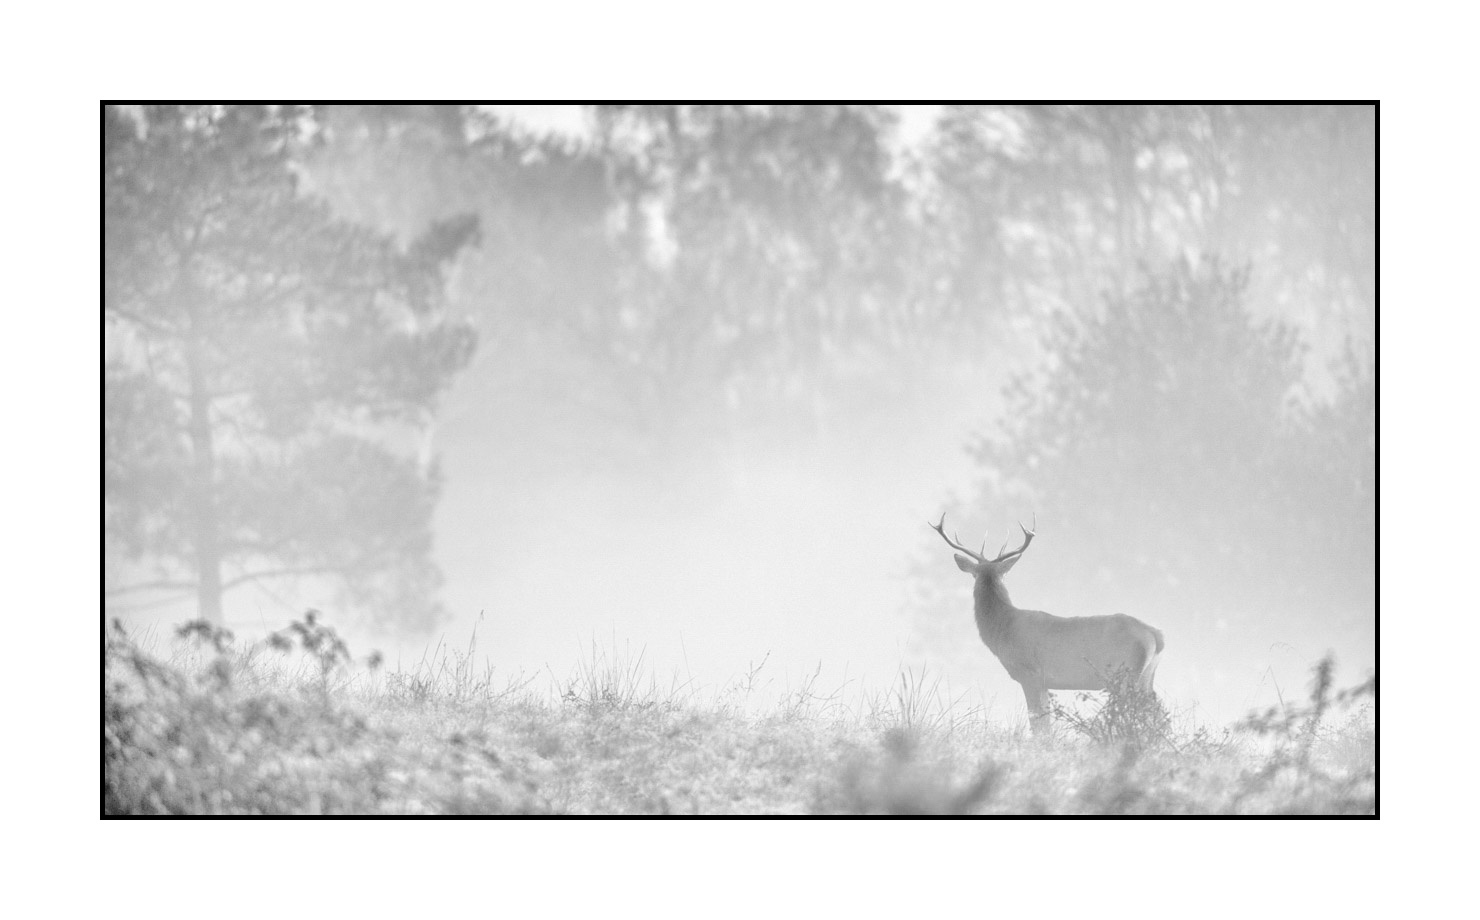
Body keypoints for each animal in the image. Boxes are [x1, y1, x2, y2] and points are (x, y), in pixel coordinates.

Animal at [929, 512, 1165, 735]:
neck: (1003, 629)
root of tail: (1155, 634)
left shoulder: (1030, 674)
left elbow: (1037, 723)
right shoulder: (1044, 682)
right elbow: (1045, 723)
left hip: (1126, 673)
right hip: (1146, 676)